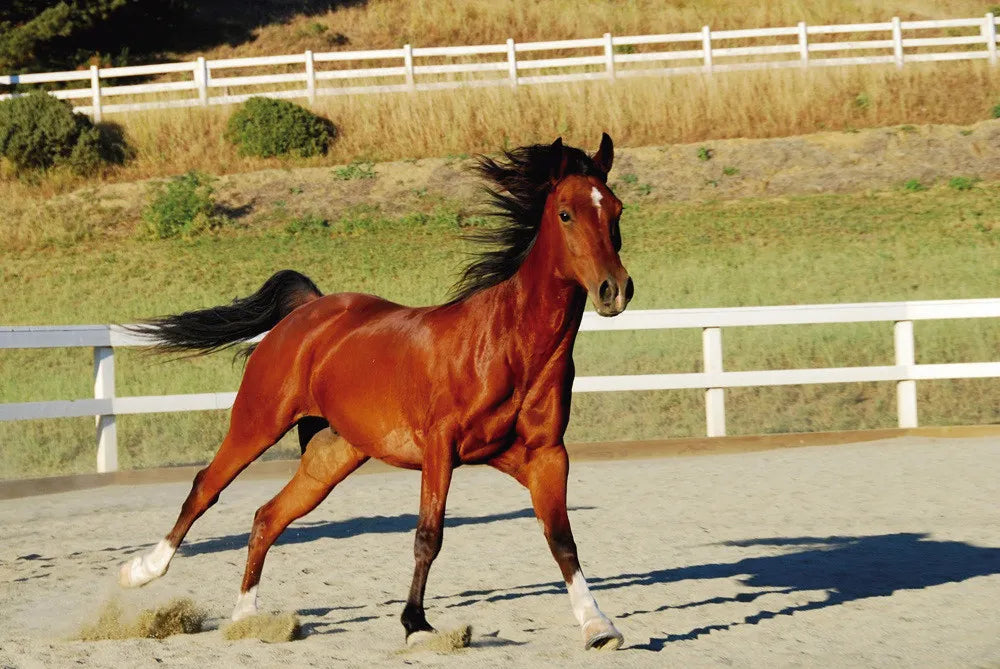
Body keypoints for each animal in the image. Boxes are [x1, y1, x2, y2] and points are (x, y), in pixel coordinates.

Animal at [117, 134, 634, 650]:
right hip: (257, 423)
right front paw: (416, 625)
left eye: (616, 210)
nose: (614, 290)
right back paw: (142, 571)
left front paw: (597, 625)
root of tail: (307, 311)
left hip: (331, 456)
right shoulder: (440, 448)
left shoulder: (545, 455)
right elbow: (429, 536)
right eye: (565, 213)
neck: (509, 346)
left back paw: (247, 619)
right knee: (206, 487)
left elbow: (561, 538)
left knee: (268, 516)